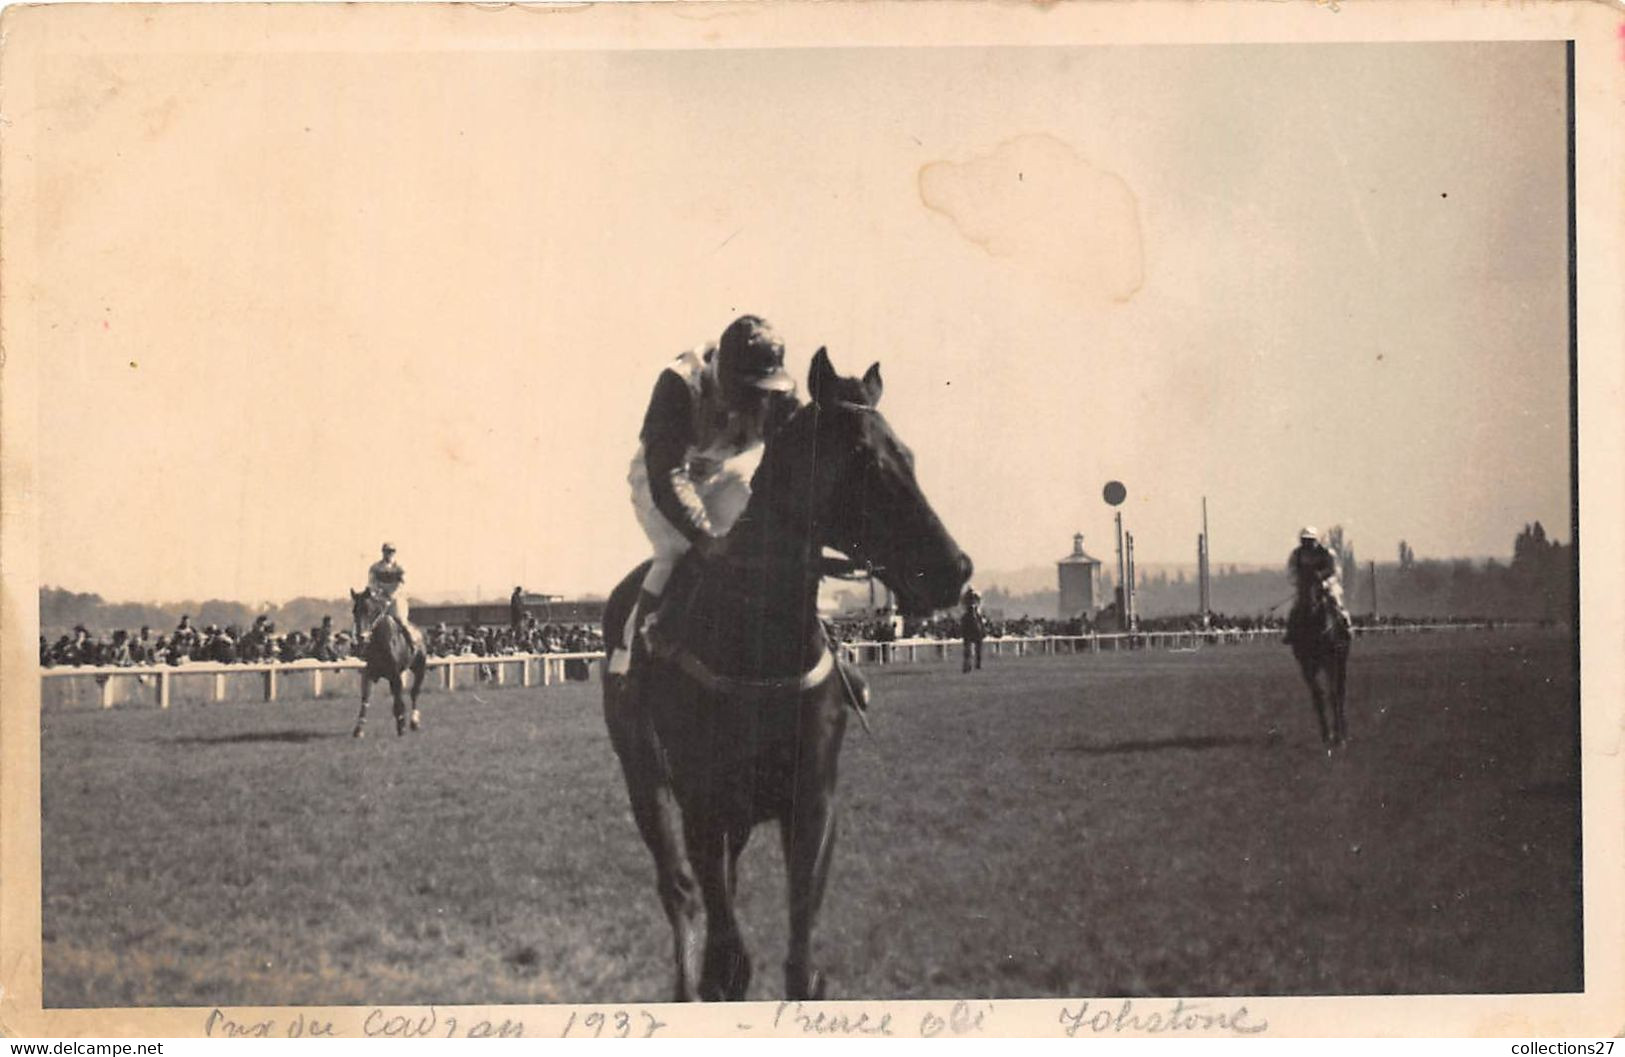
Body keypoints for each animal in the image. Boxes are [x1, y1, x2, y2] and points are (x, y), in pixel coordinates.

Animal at [349, 588, 429, 738]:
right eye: (354, 611)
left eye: (369, 610)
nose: (361, 637)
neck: (379, 642)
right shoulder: (368, 673)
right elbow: (365, 698)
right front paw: (358, 728)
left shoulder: (395, 675)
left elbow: (399, 700)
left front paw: (401, 726)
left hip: (420, 669)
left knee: (414, 693)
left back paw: (414, 721)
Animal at [604, 349, 968, 1001]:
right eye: (864, 458)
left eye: (908, 454)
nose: (954, 568)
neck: (759, 642)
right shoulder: (703, 801)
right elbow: (727, 955)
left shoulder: (814, 797)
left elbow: (800, 966)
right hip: (643, 777)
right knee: (679, 891)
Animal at [1287, 585, 1352, 748]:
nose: (1312, 605)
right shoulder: (1307, 665)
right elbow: (1318, 695)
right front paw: (1327, 735)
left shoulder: (1330, 660)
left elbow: (1333, 694)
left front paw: (1338, 737)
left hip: (1340, 661)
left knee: (1340, 692)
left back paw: (1343, 733)